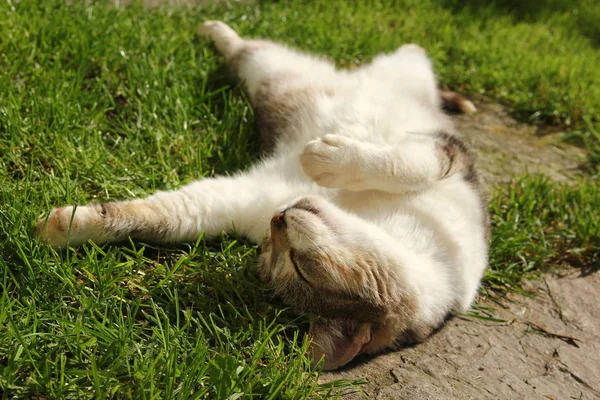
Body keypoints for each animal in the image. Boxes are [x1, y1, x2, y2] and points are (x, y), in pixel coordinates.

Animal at [35, 21, 490, 372]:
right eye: (272, 244)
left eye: (292, 262)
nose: (279, 216)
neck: (364, 210)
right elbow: (159, 215)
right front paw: (69, 226)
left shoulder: (450, 157)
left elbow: (405, 166)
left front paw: (327, 157)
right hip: (276, 73)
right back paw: (212, 29)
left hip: (278, 74)